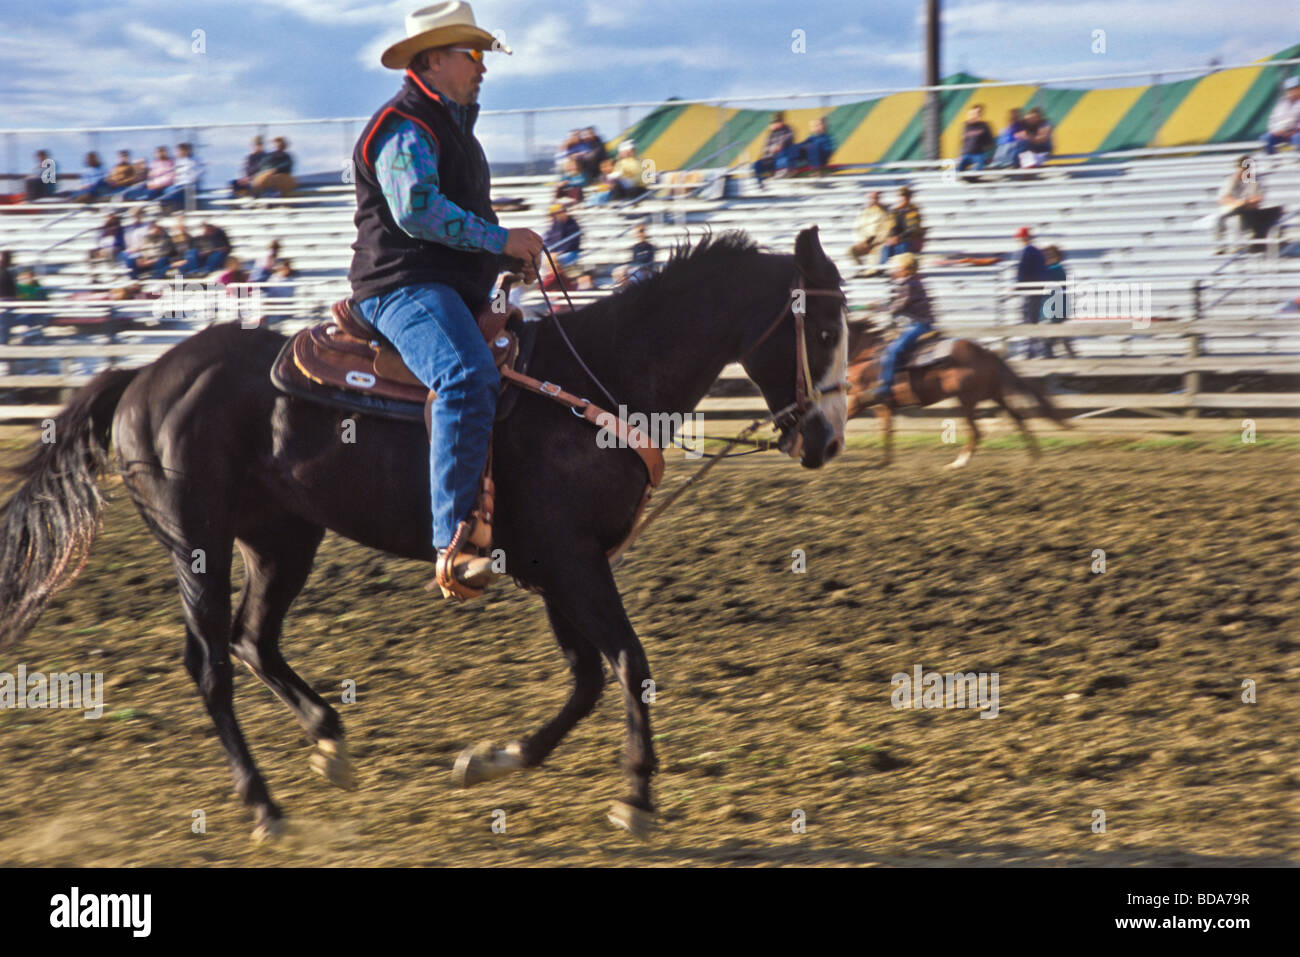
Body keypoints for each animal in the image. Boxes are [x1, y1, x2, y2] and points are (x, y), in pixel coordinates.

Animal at [0, 227, 847, 842]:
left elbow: (586, 677)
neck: (599, 376)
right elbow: (627, 662)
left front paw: (492, 759)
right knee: (211, 664)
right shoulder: (571, 559)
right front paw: (636, 795)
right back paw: (265, 808)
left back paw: (330, 741)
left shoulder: (554, 564)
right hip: (197, 543)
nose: (828, 439)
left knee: (253, 638)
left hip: (281, 538)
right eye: (827, 326)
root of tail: (141, 377)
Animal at [847, 319, 1071, 468]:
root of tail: (986, 352)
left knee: (977, 431)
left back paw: (958, 463)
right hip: (994, 394)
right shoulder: (882, 405)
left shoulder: (859, 399)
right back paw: (1034, 457)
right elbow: (886, 431)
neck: (866, 354)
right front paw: (885, 461)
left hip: (966, 399)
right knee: (1018, 418)